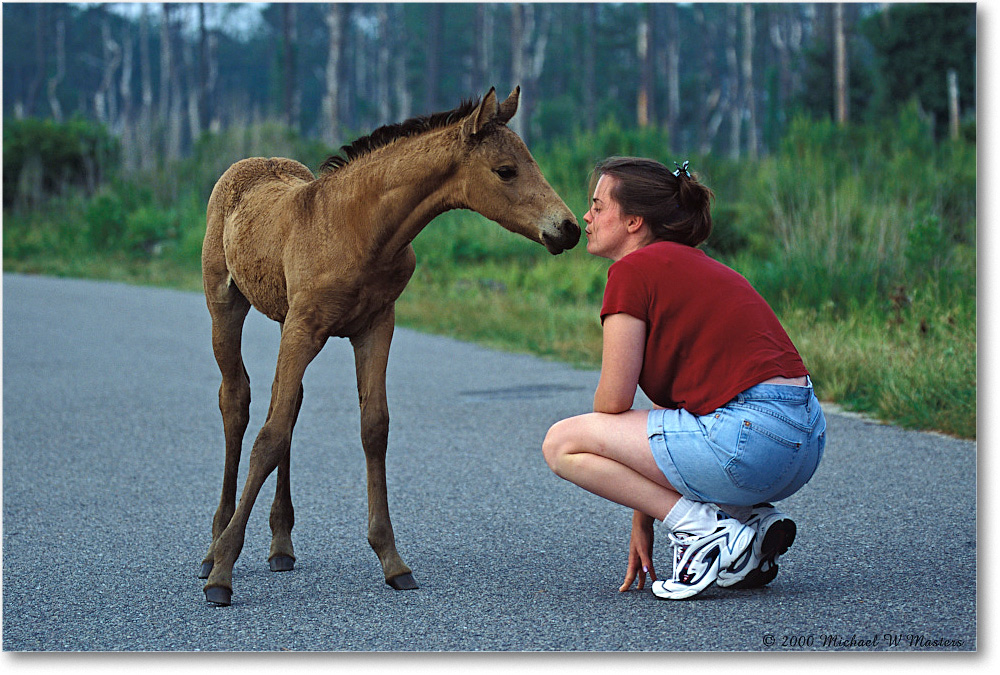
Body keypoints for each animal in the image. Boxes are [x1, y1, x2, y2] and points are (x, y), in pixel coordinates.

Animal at [197, 87, 580, 605]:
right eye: (505, 170)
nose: (569, 228)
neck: (361, 230)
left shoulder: (376, 325)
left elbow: (372, 427)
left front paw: (392, 560)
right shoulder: (305, 326)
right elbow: (269, 436)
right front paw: (223, 572)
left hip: (283, 319)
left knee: (288, 403)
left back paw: (281, 544)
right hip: (227, 306)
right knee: (236, 401)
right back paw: (213, 545)